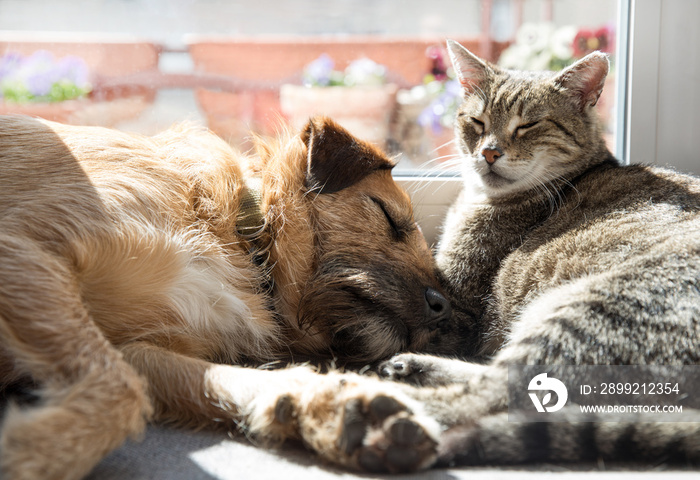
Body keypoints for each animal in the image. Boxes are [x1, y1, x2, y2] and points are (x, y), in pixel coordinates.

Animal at [0, 116, 448, 480]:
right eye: (389, 216)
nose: (443, 306)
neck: (243, 235)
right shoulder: (21, 245)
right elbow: (122, 391)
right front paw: (34, 452)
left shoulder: (133, 345)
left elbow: (182, 379)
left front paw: (325, 404)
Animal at [382, 39, 700, 466]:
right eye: (477, 122)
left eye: (528, 125)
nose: (489, 152)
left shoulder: (455, 307)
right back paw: (406, 367)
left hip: (589, 311)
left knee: (490, 396)